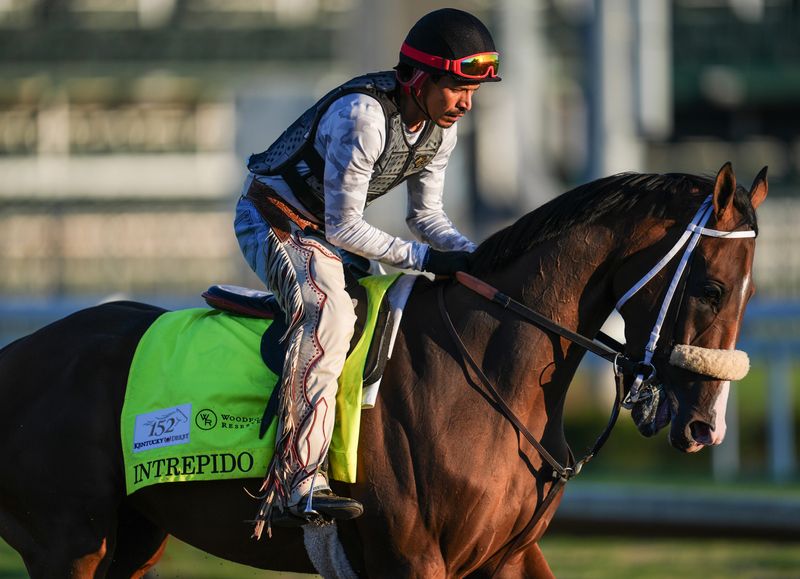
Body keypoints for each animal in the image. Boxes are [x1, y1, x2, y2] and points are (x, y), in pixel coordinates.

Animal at [0, 162, 767, 578]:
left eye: (748, 291)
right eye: (710, 288)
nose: (705, 425)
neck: (484, 371)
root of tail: (16, 354)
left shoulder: (505, 554)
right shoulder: (413, 557)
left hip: (130, 541)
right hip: (68, 544)